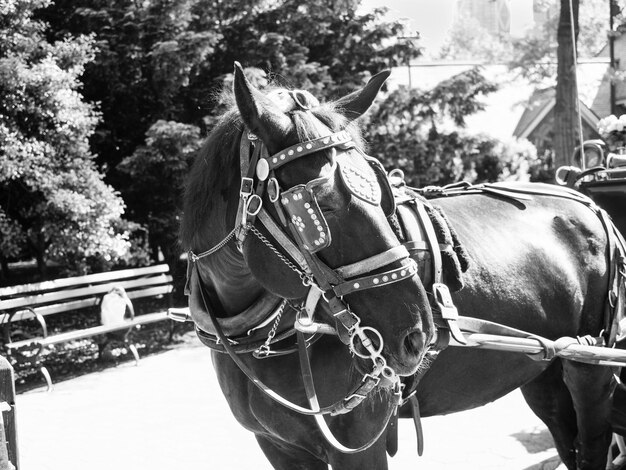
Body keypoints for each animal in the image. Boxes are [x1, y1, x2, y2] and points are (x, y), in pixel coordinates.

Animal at [179, 64, 620, 468]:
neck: (261, 340)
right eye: (322, 204)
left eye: (381, 191)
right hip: (545, 368)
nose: (418, 335)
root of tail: (589, 204)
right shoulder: (277, 446)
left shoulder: (361, 444)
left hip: (589, 363)